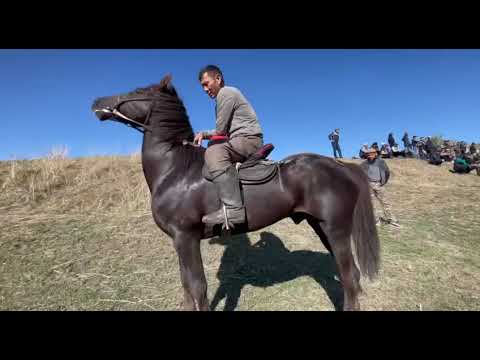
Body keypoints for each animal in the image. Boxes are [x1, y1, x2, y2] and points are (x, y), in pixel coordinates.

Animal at [92, 74, 380, 310]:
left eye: (137, 91)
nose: (97, 101)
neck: (174, 168)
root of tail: (343, 167)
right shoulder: (178, 241)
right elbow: (186, 285)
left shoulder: (186, 237)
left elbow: (198, 286)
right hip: (321, 227)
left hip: (335, 229)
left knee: (350, 277)